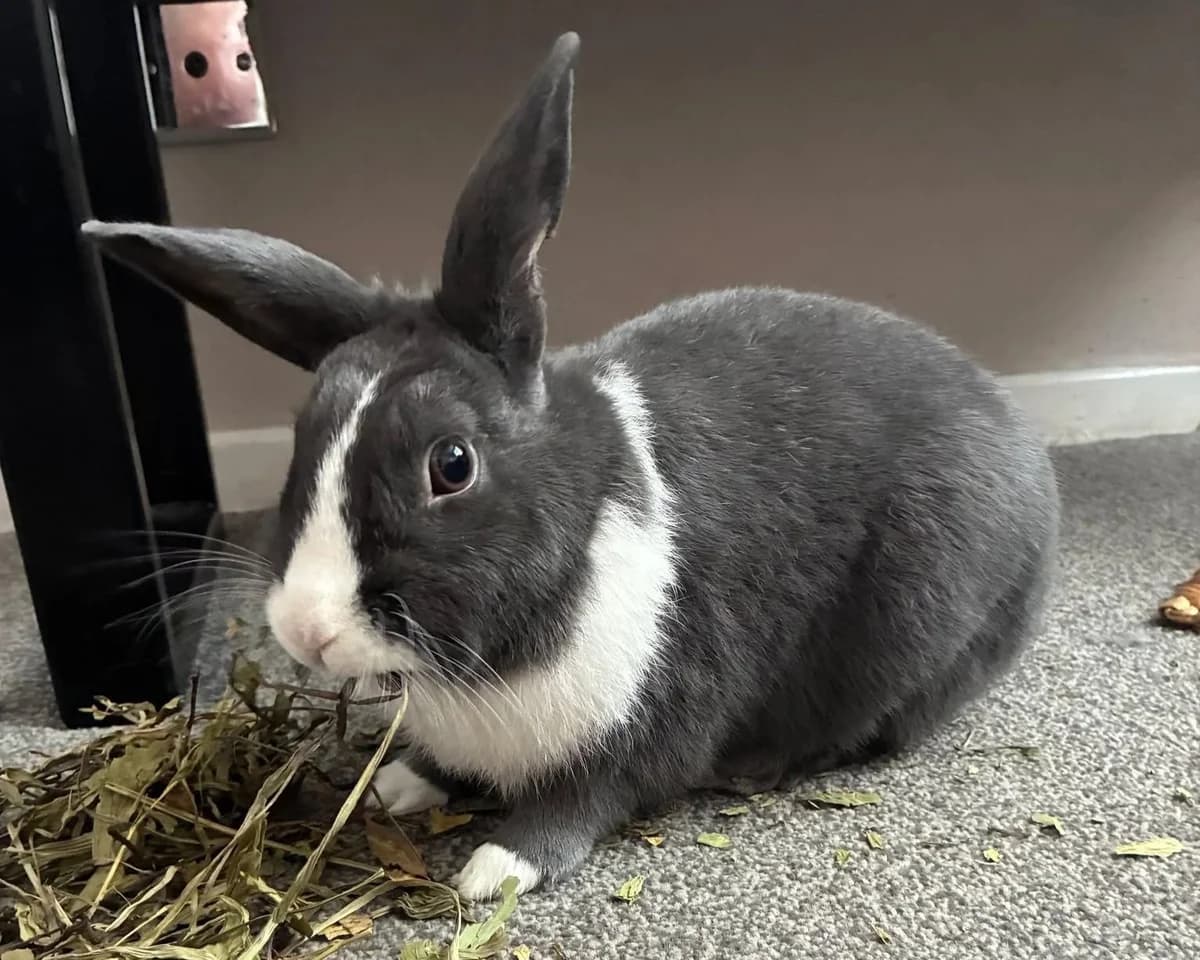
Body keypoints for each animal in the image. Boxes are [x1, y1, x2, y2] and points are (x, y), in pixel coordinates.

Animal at [82, 30, 1060, 902]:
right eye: (301, 435)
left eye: (451, 464)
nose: (305, 631)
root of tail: (1024, 452)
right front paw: (402, 784)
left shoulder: (652, 715)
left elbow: (588, 797)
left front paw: (496, 868)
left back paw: (760, 767)